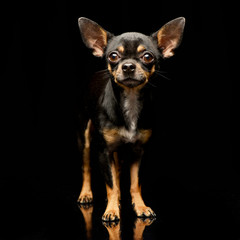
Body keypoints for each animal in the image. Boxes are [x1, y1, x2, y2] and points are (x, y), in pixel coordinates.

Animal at [77, 17, 186, 221]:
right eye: (113, 56)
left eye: (147, 57)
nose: (128, 66)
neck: (130, 102)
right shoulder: (104, 152)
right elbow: (110, 184)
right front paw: (111, 211)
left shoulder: (139, 151)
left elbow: (135, 183)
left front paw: (140, 207)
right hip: (85, 138)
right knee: (86, 167)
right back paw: (86, 194)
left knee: (118, 172)